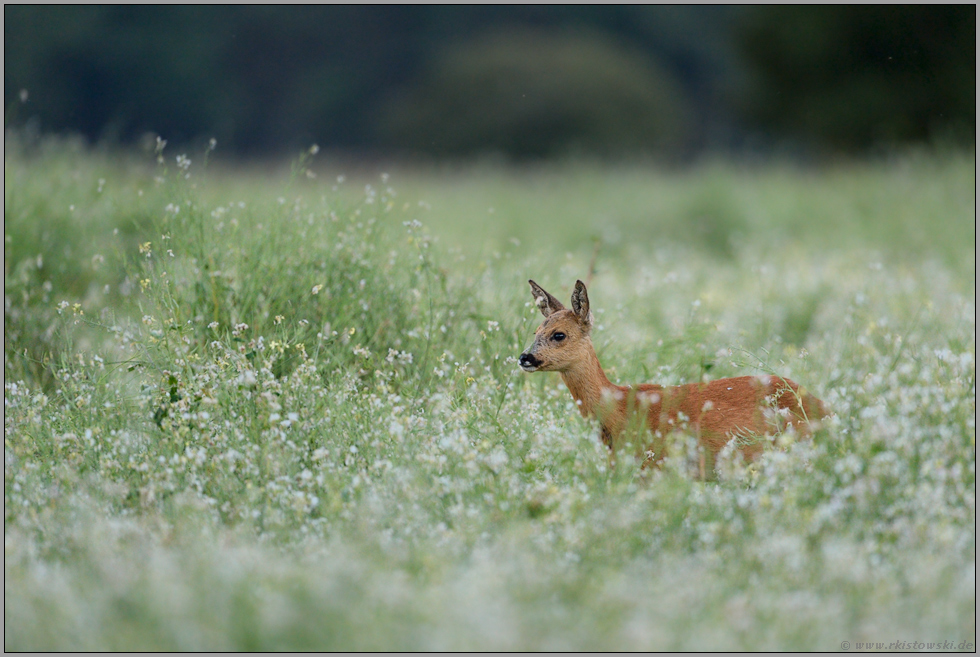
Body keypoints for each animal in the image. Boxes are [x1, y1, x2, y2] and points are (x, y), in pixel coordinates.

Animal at [520, 280, 828, 474]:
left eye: (559, 334)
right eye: (536, 331)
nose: (525, 357)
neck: (618, 408)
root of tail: (826, 411)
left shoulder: (652, 465)